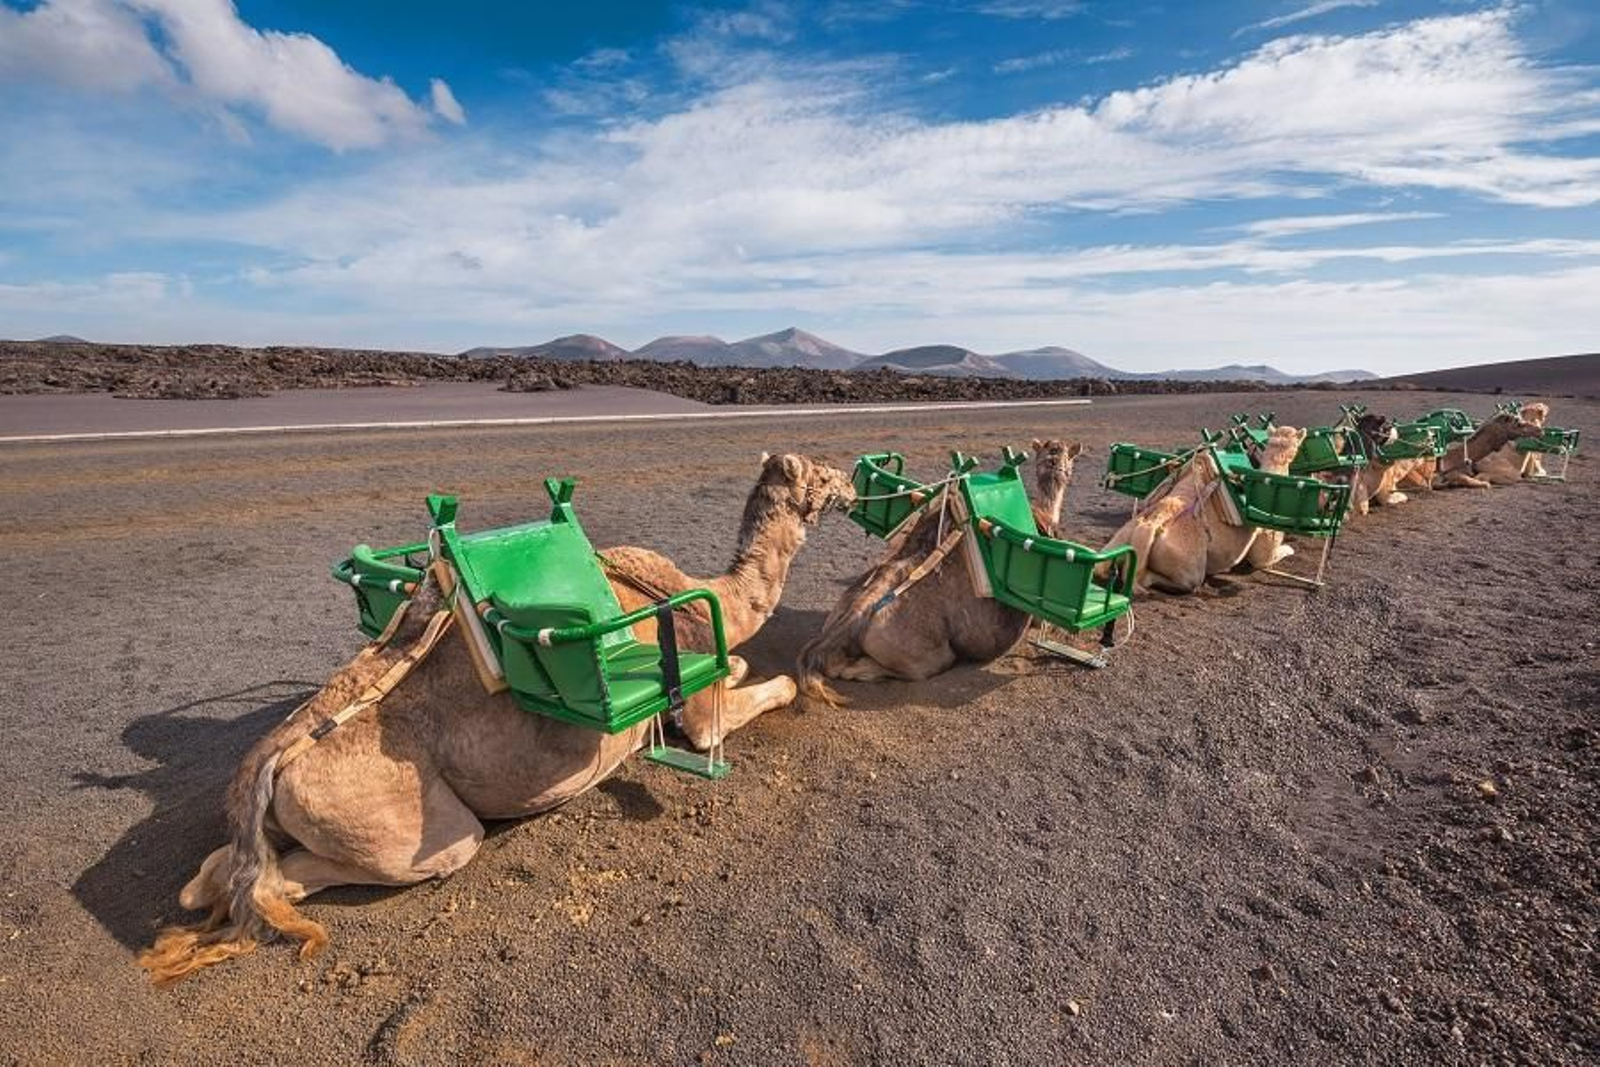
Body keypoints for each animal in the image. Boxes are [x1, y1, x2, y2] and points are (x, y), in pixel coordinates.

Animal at [140, 453, 855, 985]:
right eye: (821, 472)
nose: (851, 483)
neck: (714, 596)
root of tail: (273, 758)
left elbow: (740, 667)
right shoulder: (698, 698)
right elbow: (757, 692)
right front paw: (785, 685)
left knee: (217, 874)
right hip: (412, 827)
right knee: (296, 880)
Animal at [797, 439, 1080, 705]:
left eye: (1065, 455)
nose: (1060, 465)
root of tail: (857, 612)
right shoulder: (1037, 617)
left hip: (837, 615)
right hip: (927, 655)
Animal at [1102, 425, 1307, 595]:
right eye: (1297, 448)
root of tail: (1150, 526)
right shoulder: (1263, 552)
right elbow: (1273, 555)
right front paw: (1290, 549)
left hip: (1118, 542)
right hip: (1189, 567)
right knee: (1179, 581)